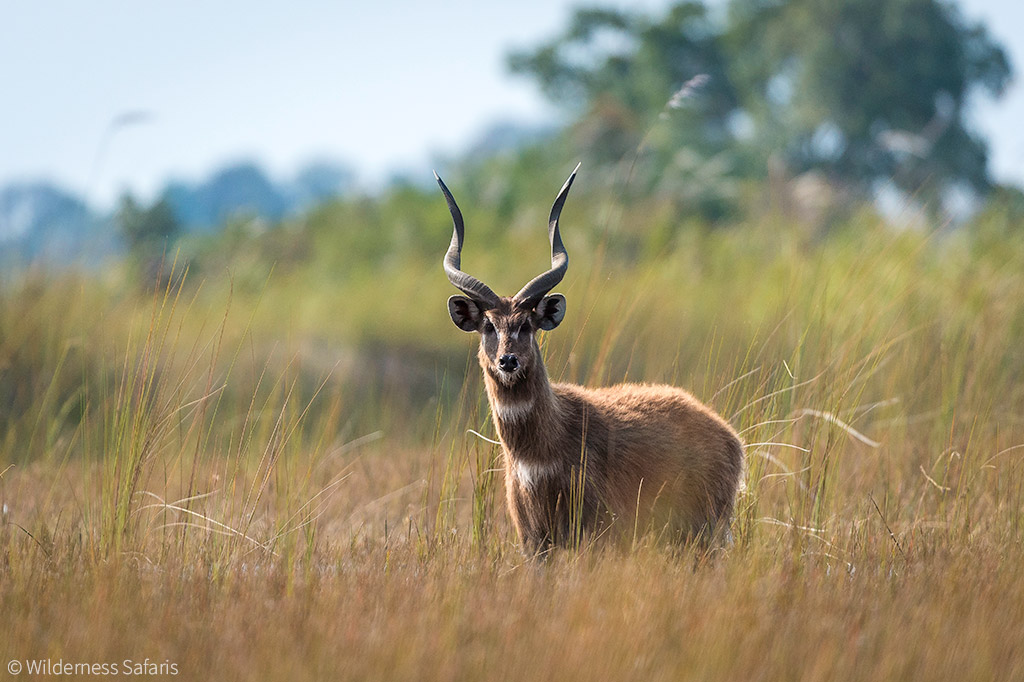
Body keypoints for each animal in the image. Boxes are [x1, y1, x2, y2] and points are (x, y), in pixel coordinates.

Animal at [436, 164, 741, 552]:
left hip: (704, 533)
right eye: (488, 325)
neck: (539, 456)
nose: (508, 361)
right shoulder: (534, 541)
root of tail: (732, 439)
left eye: (527, 324)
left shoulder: (596, 533)